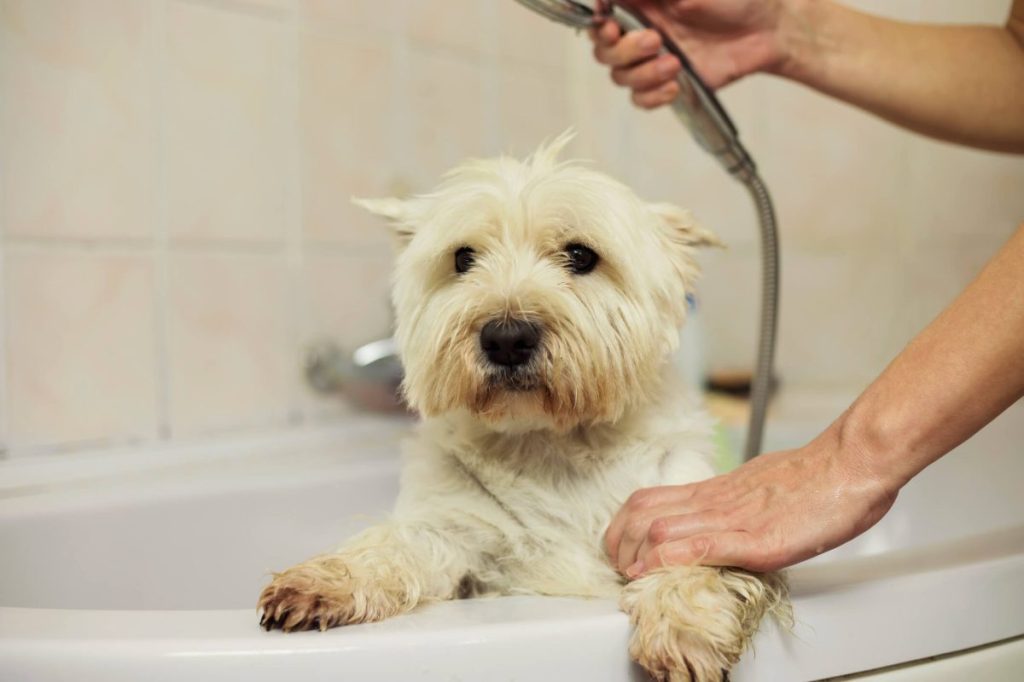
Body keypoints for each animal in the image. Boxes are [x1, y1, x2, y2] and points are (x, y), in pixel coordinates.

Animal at [260, 133, 786, 679]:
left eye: (580, 254)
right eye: (463, 258)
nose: (506, 338)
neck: (553, 443)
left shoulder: (681, 503)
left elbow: (694, 554)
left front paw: (683, 625)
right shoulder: (456, 532)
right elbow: (398, 543)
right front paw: (325, 579)